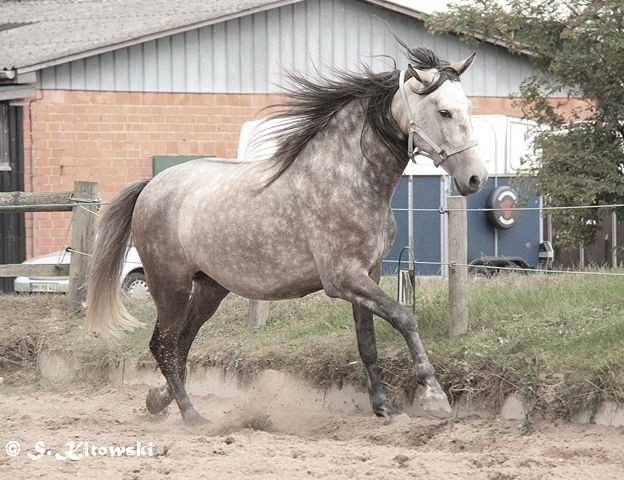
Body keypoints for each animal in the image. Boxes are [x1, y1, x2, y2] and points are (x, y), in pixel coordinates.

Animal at [88, 43, 488, 422]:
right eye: (444, 112)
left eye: (468, 107)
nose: (475, 178)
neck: (347, 179)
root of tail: (152, 184)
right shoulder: (343, 279)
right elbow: (404, 317)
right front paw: (434, 396)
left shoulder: (368, 275)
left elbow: (367, 343)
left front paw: (384, 408)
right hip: (169, 285)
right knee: (164, 346)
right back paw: (191, 416)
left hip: (209, 288)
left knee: (181, 344)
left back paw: (157, 401)